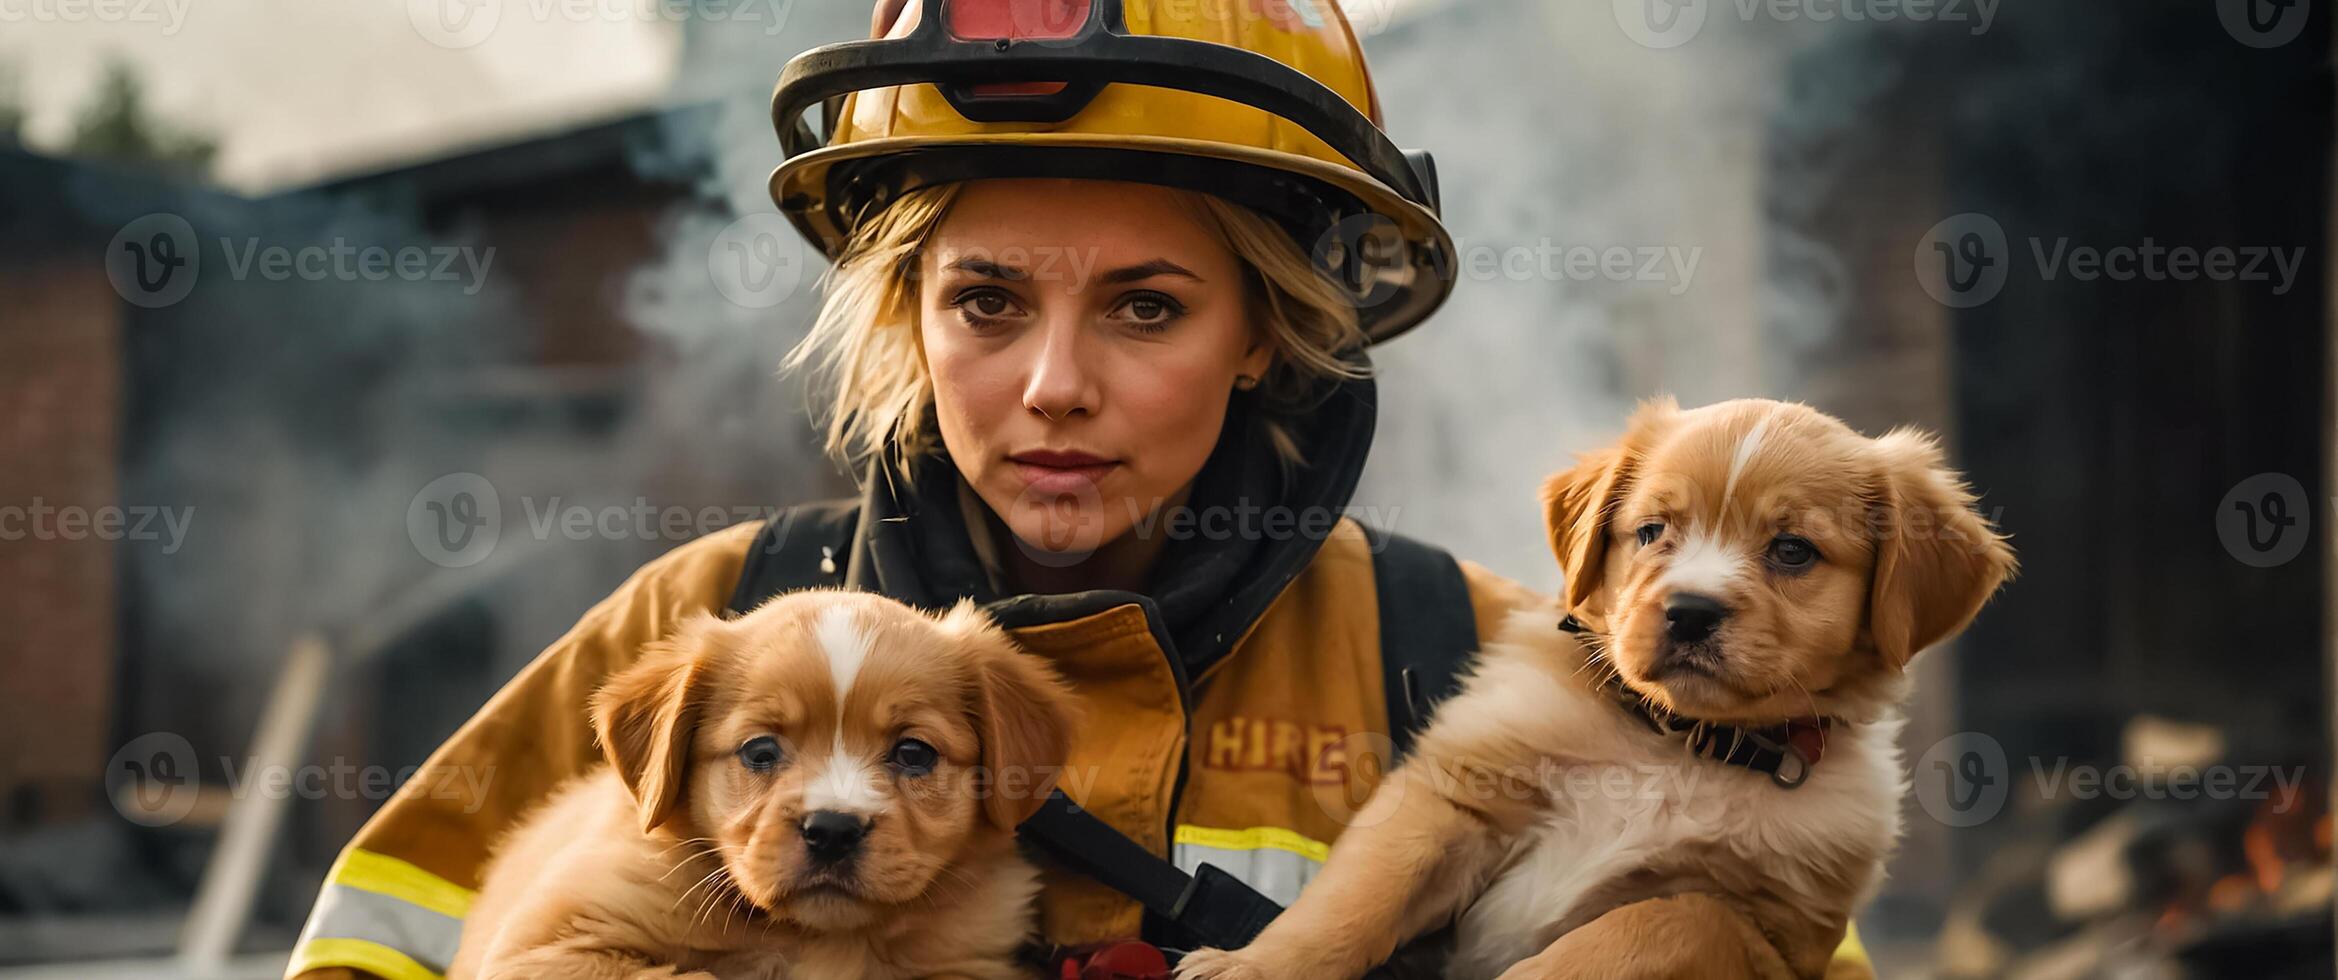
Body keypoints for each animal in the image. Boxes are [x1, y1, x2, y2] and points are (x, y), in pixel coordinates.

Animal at [446, 591, 1075, 980]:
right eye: (759, 751)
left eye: (914, 753)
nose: (833, 831)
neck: (818, 937)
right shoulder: (544, 947)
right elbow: (690, 976)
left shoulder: (969, 959)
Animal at [1178, 399, 2020, 980]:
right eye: (1651, 531)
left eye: (1792, 551)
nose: (1691, 611)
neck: (1679, 746)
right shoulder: (1454, 793)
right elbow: (1355, 897)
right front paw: (1252, 966)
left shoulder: (1771, 926)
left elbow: (1668, 920)